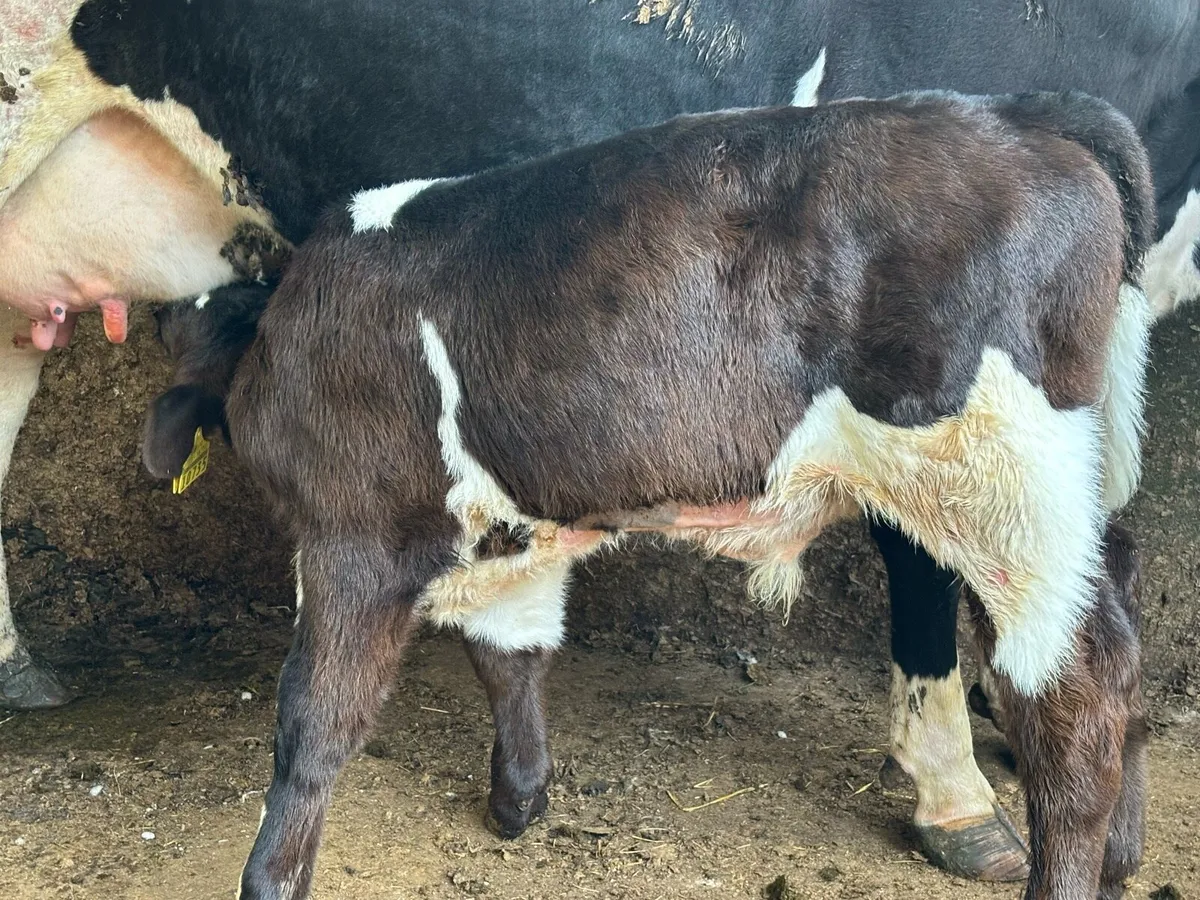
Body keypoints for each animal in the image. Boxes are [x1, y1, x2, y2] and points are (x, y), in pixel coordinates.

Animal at [2, 0, 1197, 880]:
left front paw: (272, 871)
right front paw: (519, 798)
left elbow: (313, 725)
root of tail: (1024, 116)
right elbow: (510, 650)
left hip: (996, 476)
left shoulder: (355, 533)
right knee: (1120, 611)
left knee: (1081, 687)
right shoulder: (514, 524)